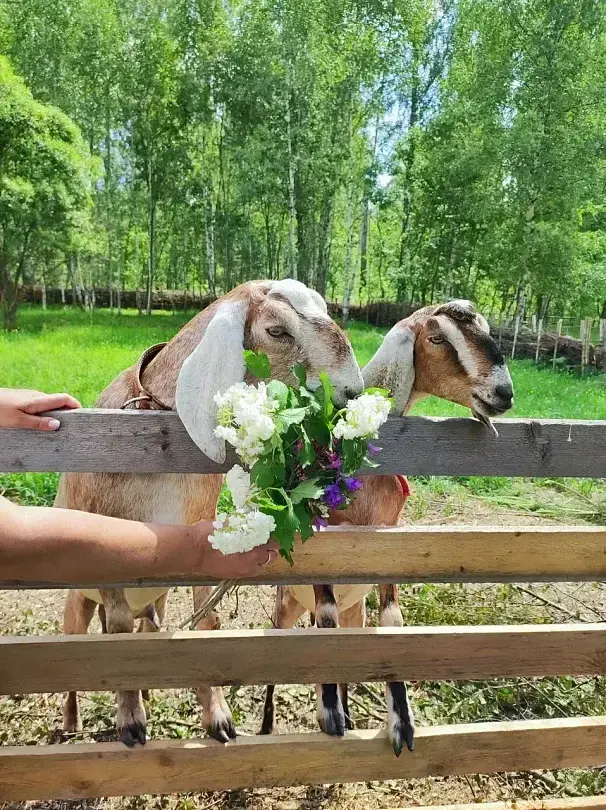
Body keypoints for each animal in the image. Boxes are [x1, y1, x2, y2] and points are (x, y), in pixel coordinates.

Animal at [56, 279, 364, 747]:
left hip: (159, 601)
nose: (353, 391)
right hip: (78, 601)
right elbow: (118, 631)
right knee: (78, 642)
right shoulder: (110, 552)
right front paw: (130, 720)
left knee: (151, 629)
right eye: (277, 330)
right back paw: (71, 721)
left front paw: (217, 716)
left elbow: (208, 623)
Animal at [260, 299, 514, 756]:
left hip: (354, 613)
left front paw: (401, 722)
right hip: (285, 609)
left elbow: (392, 622)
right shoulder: (324, 542)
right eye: (436, 338)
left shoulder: (389, 543)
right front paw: (328, 712)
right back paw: (274, 727)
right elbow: (325, 615)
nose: (504, 393)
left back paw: (349, 712)